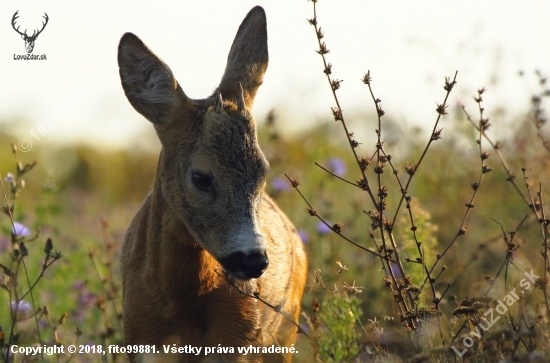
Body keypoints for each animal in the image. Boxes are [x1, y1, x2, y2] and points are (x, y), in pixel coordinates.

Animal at [118, 6, 310, 363]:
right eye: (201, 177)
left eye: (263, 171)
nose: (254, 260)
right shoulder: (139, 333)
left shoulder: (239, 336)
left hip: (285, 329)